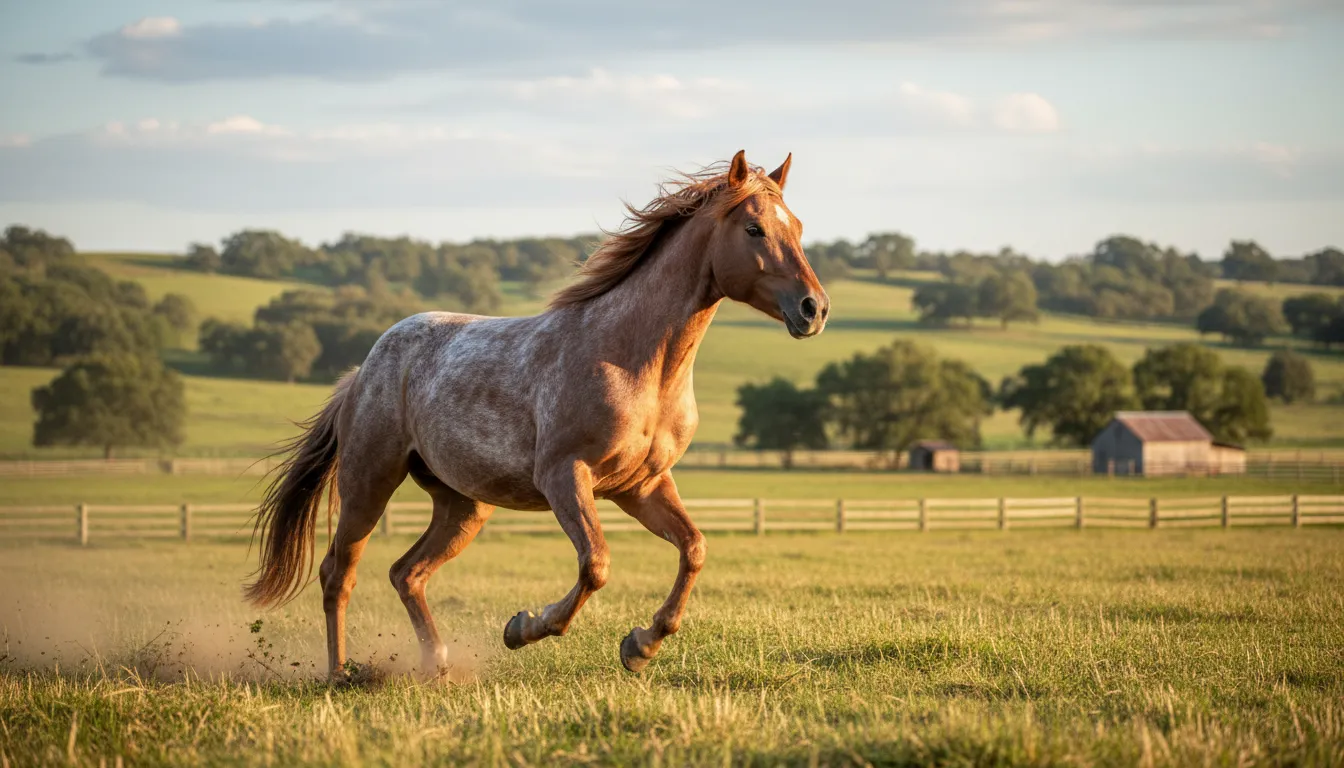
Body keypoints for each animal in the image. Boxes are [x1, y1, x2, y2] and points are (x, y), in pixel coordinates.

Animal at [244, 150, 830, 678]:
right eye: (754, 229)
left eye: (798, 226)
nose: (814, 309)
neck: (635, 362)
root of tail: (363, 370)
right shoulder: (565, 476)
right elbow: (596, 564)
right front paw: (524, 627)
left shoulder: (642, 485)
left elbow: (694, 549)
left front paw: (640, 645)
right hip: (370, 482)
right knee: (338, 573)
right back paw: (340, 673)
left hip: (463, 506)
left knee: (406, 573)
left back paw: (436, 664)